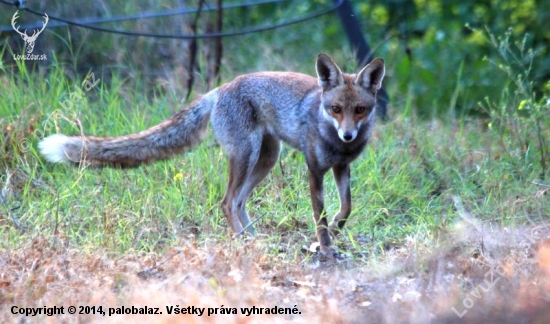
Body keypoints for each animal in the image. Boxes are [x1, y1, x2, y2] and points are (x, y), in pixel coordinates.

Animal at [38, 53, 386, 256]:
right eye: (335, 109)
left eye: (359, 110)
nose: (348, 135)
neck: (337, 144)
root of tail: (220, 88)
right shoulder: (314, 168)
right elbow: (320, 217)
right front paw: (325, 248)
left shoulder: (341, 167)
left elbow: (346, 209)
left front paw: (331, 235)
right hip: (247, 155)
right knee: (227, 202)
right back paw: (244, 243)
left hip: (266, 158)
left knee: (239, 201)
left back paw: (253, 241)